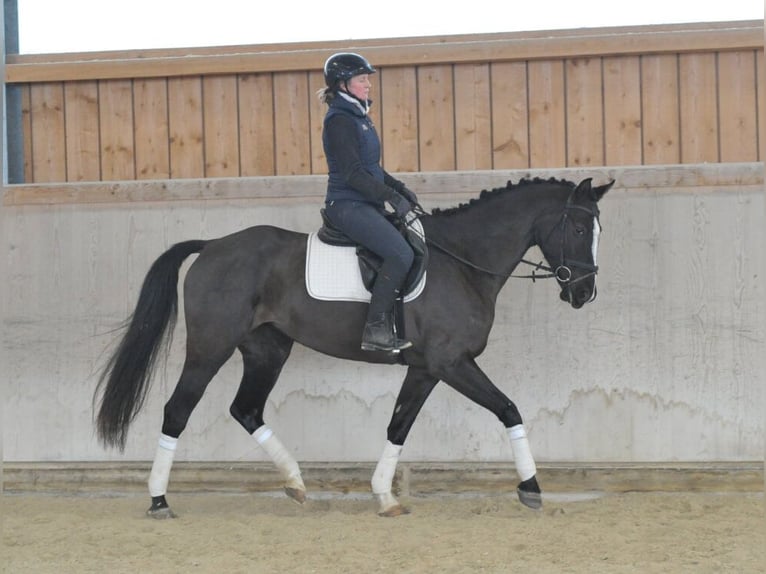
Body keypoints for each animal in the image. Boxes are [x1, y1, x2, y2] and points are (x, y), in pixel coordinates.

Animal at [94, 176, 613, 518]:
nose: (584, 293)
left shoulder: (426, 368)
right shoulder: (452, 362)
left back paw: (297, 484)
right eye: (578, 229)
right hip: (209, 348)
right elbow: (509, 409)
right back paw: (159, 499)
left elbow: (398, 426)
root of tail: (212, 245)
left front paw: (384, 495)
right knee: (177, 411)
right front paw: (531, 487)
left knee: (246, 410)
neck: (464, 262)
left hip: (267, 350)